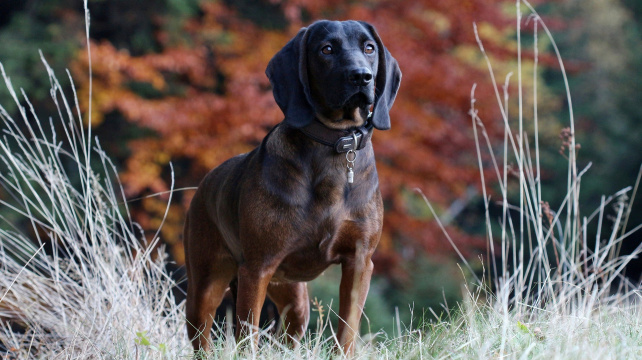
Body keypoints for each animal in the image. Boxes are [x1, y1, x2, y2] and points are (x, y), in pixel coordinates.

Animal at [181, 19, 400, 354]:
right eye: (326, 49)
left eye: (369, 48)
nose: (362, 76)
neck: (334, 145)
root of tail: (204, 185)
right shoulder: (257, 267)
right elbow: (248, 336)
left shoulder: (360, 261)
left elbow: (347, 331)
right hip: (205, 286)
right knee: (203, 335)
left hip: (294, 301)